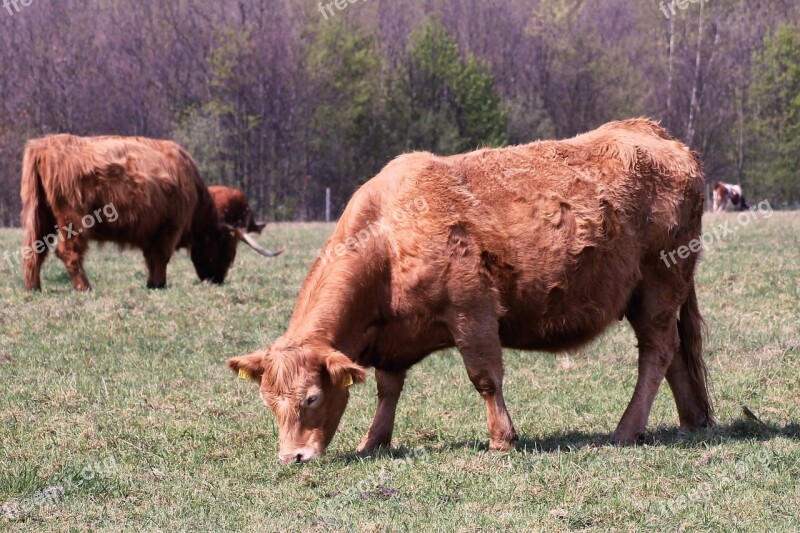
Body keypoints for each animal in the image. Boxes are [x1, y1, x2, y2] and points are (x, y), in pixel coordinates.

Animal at [227, 117, 712, 462]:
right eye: (268, 401)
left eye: (311, 397)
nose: (293, 457)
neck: (388, 236)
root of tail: (652, 131)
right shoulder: (393, 341)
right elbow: (388, 388)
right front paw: (374, 441)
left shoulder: (472, 312)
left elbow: (485, 378)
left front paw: (502, 439)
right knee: (672, 355)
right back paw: (691, 421)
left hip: (660, 284)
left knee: (656, 352)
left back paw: (626, 430)